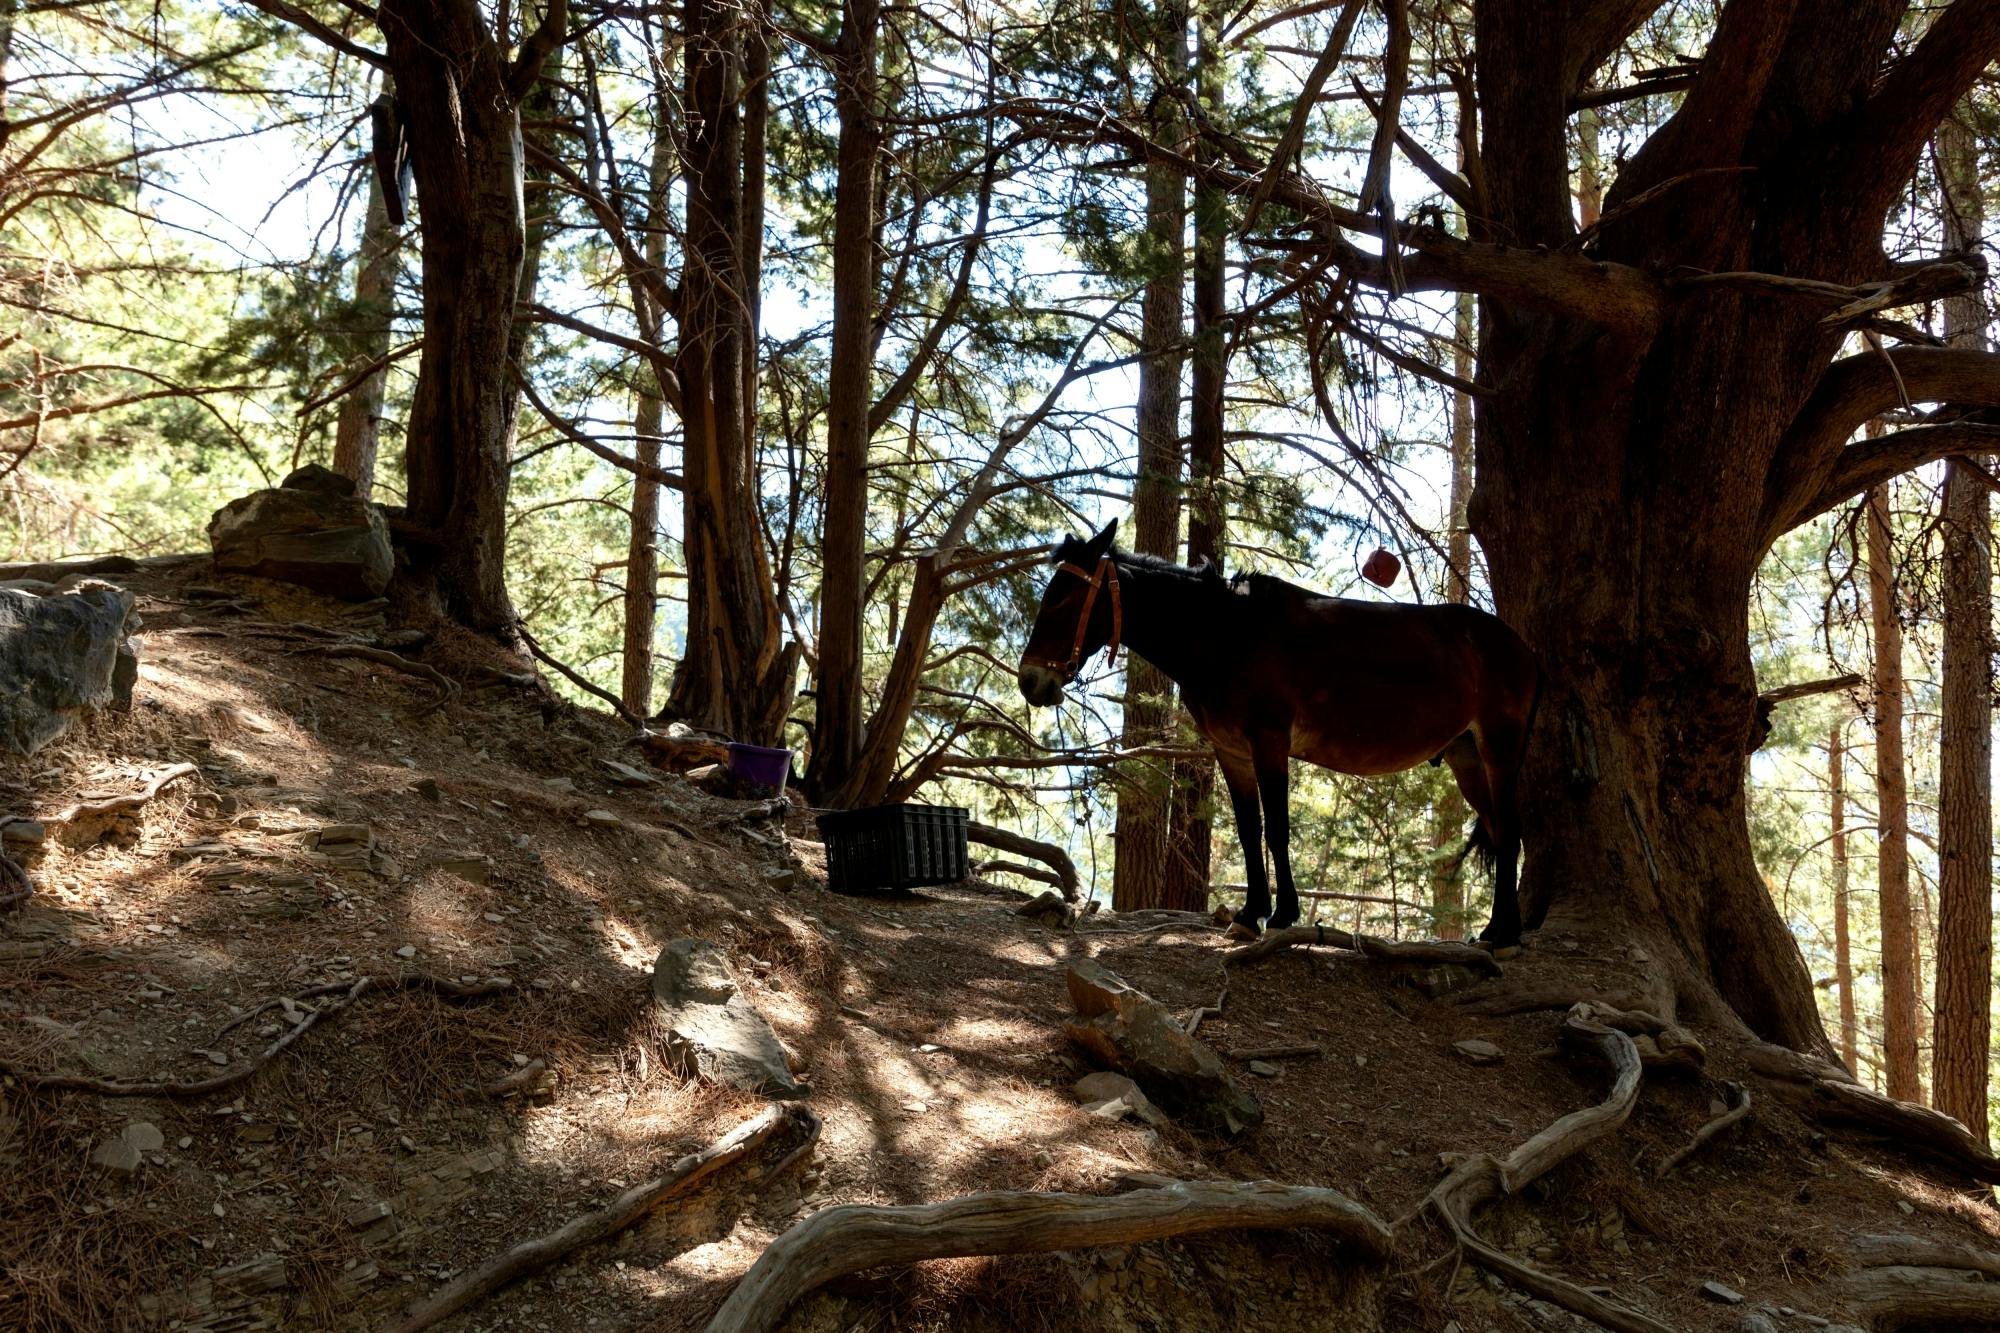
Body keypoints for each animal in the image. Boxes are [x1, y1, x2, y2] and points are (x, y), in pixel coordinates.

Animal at [1016, 520, 1544, 944]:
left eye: (1063, 598)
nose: (1030, 681)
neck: (1227, 636)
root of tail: (1519, 647)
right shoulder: (1231, 751)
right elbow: (1250, 830)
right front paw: (1250, 914)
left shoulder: (1269, 743)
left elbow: (1277, 829)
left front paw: (1284, 913)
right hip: (1467, 759)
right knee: (1502, 831)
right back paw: (1499, 929)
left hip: (1498, 749)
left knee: (1510, 830)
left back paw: (1504, 936)